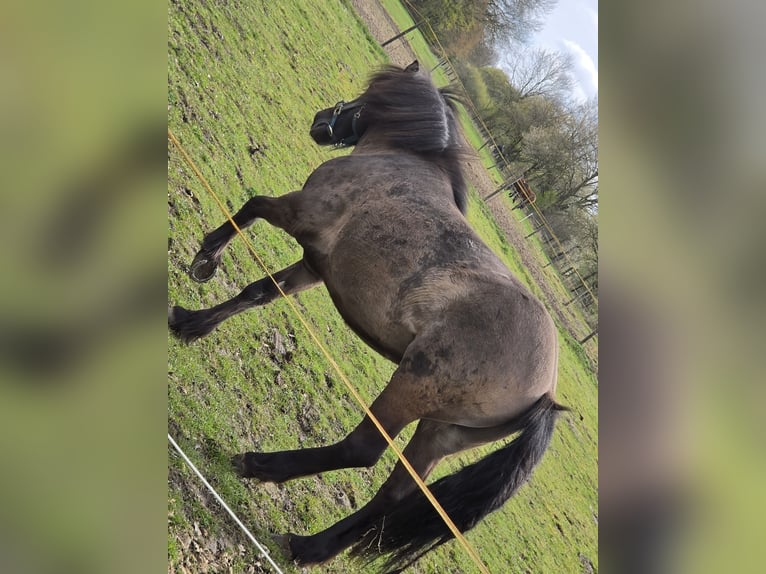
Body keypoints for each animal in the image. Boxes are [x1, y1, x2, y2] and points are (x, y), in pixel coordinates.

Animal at [169, 61, 566, 572]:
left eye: (364, 99)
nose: (322, 121)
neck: (400, 160)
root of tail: (546, 392)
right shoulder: (316, 265)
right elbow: (257, 292)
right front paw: (190, 323)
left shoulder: (300, 213)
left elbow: (252, 207)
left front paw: (206, 259)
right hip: (442, 432)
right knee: (394, 493)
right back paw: (307, 546)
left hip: (409, 388)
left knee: (362, 450)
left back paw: (260, 466)